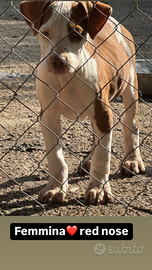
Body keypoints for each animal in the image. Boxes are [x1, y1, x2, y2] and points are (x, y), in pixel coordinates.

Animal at [19, 1, 145, 205]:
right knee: (96, 136)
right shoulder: (48, 117)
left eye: (76, 34)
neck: (67, 78)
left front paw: (98, 188)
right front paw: (56, 188)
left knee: (131, 123)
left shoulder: (103, 113)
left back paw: (132, 159)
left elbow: (103, 157)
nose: (58, 61)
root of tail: (113, 21)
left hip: (130, 84)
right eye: (45, 33)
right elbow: (56, 157)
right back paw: (89, 161)